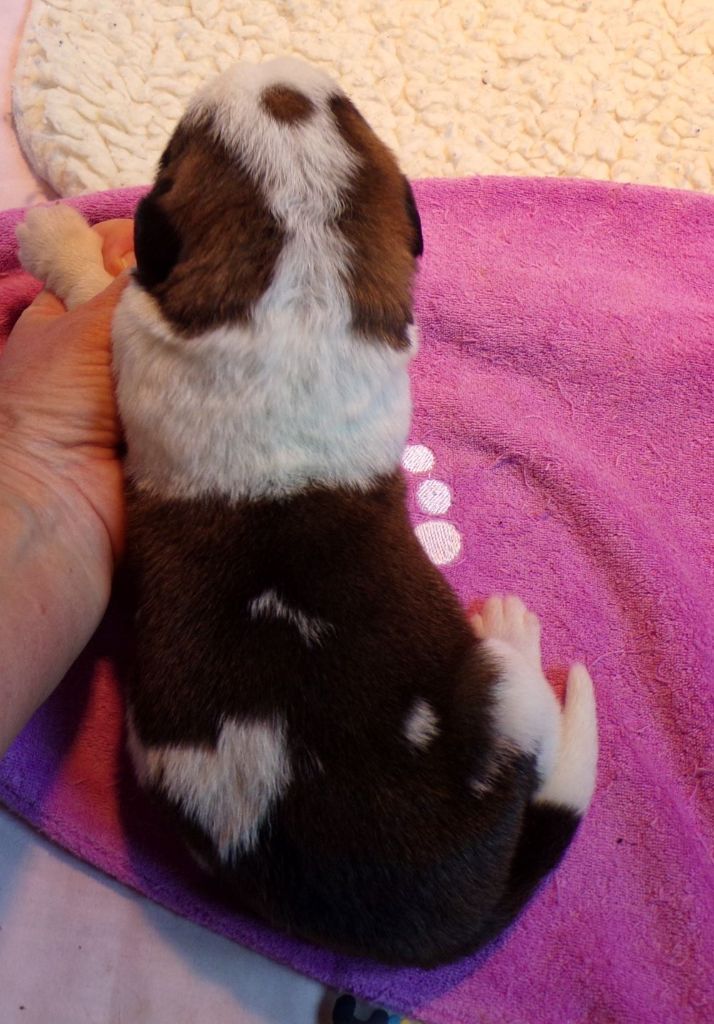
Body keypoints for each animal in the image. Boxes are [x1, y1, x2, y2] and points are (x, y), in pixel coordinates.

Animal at [17, 56, 597, 967]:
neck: (301, 291)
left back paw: (513, 622)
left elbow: (96, 286)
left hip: (501, 697)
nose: (276, 71)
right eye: (349, 109)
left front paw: (51, 230)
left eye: (174, 143)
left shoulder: (133, 329)